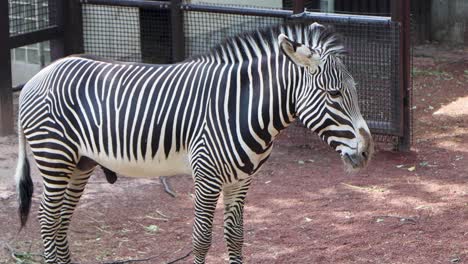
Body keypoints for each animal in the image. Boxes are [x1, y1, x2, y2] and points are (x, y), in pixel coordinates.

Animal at [14, 23, 372, 264]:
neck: (239, 108)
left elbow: (236, 237)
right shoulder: (207, 176)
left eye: (352, 91)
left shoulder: (241, 181)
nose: (367, 151)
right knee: (47, 221)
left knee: (61, 223)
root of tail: (38, 76)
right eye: (334, 94)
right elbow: (201, 239)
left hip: (79, 164)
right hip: (54, 158)